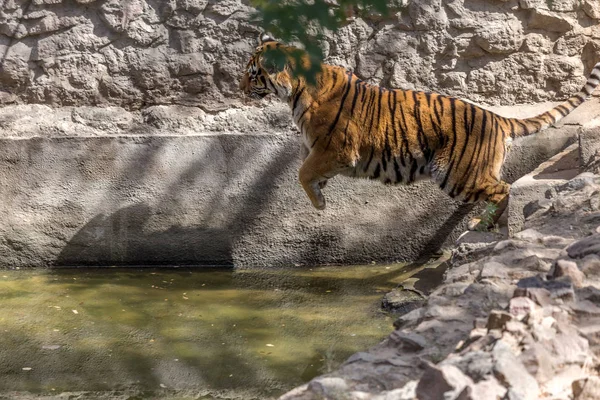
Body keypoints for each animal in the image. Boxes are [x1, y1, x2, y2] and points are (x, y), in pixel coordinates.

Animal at [238, 34, 600, 231]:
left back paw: (482, 224)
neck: (295, 91)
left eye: (253, 74)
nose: (239, 88)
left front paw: (319, 204)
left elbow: (301, 172)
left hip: (457, 174)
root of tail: (497, 118)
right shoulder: (320, 152)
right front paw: (321, 194)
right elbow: (307, 171)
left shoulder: (335, 150)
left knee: (503, 189)